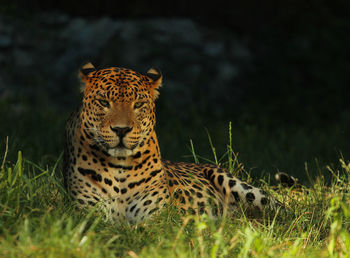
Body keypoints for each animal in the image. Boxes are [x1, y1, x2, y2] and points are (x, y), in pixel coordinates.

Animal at [62, 63, 276, 224]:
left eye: (138, 104)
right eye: (104, 102)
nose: (121, 130)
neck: (119, 167)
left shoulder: (159, 217)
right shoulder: (88, 215)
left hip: (236, 183)